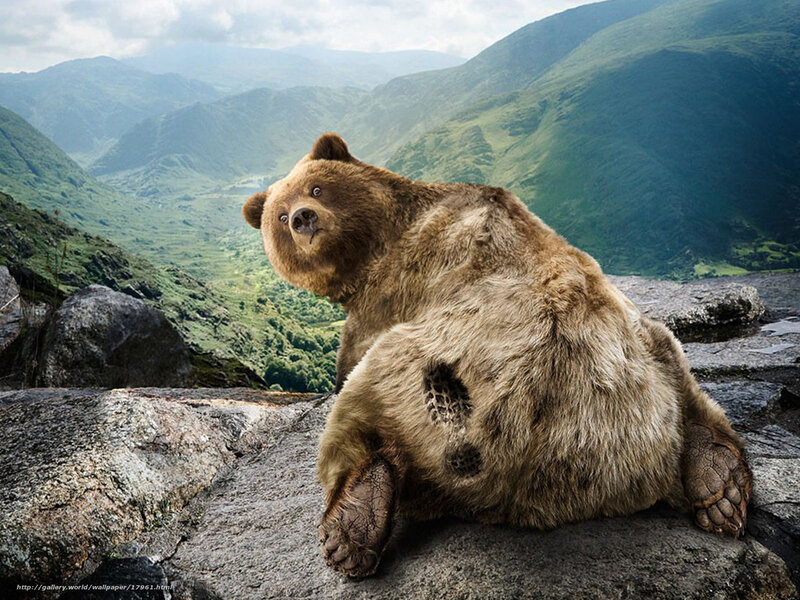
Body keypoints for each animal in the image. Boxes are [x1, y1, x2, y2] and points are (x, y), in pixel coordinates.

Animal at [242, 132, 752, 578]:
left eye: (316, 187)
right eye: (280, 216)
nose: (303, 218)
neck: (379, 241)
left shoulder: (393, 292)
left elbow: (349, 361)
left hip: (430, 372)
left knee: (362, 405)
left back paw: (352, 525)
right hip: (637, 360)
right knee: (681, 373)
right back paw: (719, 484)